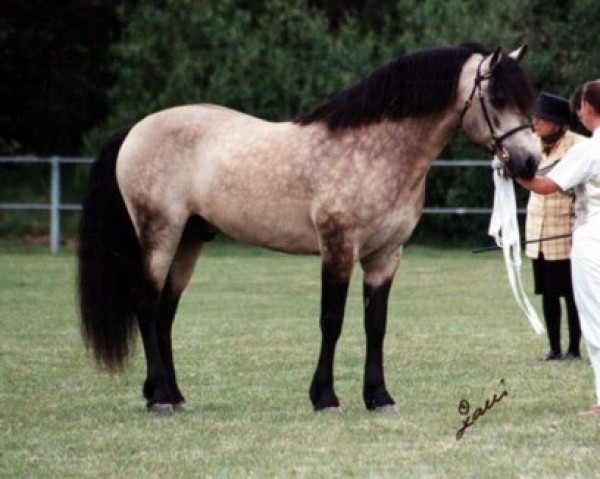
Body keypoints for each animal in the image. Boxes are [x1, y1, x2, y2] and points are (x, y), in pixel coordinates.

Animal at [77, 43, 540, 414]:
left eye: (529, 98)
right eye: (497, 97)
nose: (529, 162)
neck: (376, 152)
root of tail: (136, 129)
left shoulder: (385, 256)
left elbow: (376, 325)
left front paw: (379, 397)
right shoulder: (338, 248)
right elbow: (331, 321)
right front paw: (325, 398)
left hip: (189, 241)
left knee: (165, 314)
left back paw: (173, 394)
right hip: (160, 235)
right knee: (145, 303)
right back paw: (158, 398)